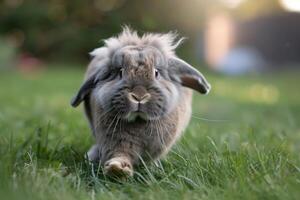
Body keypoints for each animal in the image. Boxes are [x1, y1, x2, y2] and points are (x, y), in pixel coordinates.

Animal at [70, 27, 211, 177]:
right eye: (120, 72)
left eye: (156, 73)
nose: (139, 96)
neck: (138, 122)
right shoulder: (115, 144)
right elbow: (120, 154)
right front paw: (117, 169)